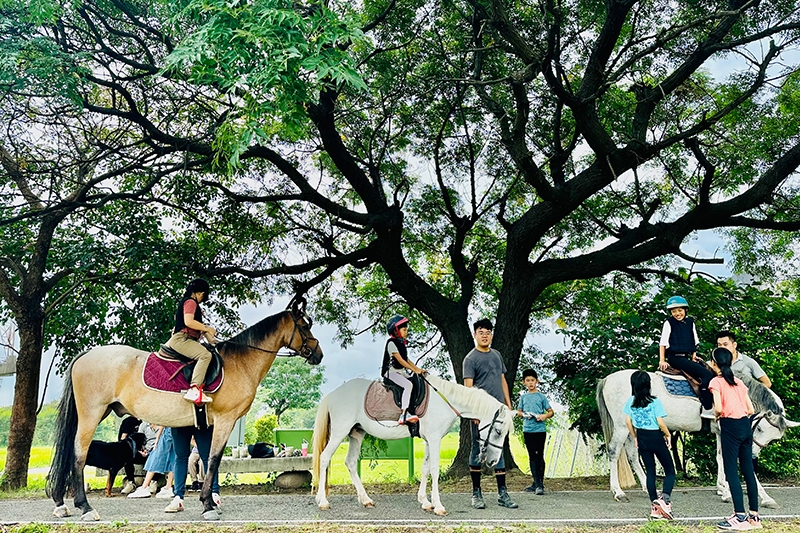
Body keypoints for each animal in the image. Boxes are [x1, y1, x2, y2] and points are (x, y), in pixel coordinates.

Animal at [46, 304, 322, 520]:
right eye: (304, 327)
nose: (318, 354)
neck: (239, 362)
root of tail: (88, 354)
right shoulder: (225, 420)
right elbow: (213, 459)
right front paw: (208, 504)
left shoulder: (208, 425)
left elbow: (206, 458)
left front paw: (210, 500)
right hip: (92, 414)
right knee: (78, 454)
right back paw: (84, 507)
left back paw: (61, 504)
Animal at [312, 374, 512, 516]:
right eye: (498, 431)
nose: (493, 462)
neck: (445, 401)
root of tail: (333, 394)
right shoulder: (434, 439)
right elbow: (434, 470)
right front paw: (438, 506)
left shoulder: (429, 440)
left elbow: (425, 468)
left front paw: (425, 501)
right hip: (340, 432)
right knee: (324, 458)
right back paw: (323, 501)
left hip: (356, 434)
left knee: (351, 462)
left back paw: (365, 499)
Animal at [596, 368, 796, 504]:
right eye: (760, 429)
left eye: (773, 439)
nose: (754, 453)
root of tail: (606, 379)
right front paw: (763, 496)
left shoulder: (720, 431)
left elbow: (720, 457)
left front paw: (724, 489)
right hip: (621, 426)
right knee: (614, 451)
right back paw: (618, 491)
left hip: (631, 427)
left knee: (631, 454)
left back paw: (647, 487)